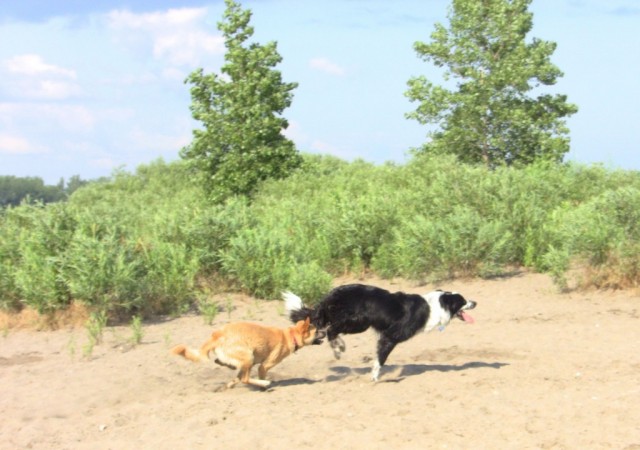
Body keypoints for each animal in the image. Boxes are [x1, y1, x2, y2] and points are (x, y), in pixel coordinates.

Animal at [170, 318, 320, 388]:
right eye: (317, 331)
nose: (325, 331)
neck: (290, 335)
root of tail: (218, 335)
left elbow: (236, 378)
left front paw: (230, 384)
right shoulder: (264, 365)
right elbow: (258, 375)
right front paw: (264, 385)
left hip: (246, 360)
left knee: (221, 362)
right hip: (249, 357)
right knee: (246, 379)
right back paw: (264, 384)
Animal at [284, 284, 476, 380]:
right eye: (463, 301)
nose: (475, 302)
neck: (435, 305)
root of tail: (330, 295)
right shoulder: (390, 336)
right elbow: (381, 359)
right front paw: (375, 377)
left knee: (332, 329)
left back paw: (339, 347)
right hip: (359, 321)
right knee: (332, 330)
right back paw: (339, 349)